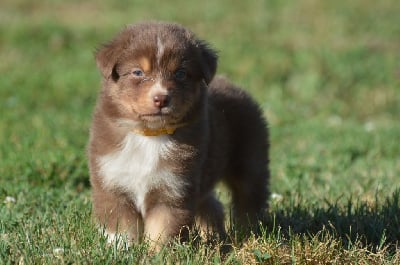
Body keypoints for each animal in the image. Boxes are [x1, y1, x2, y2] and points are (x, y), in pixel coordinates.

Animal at [87, 21, 268, 246]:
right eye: (137, 72)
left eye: (180, 73)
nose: (161, 99)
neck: (149, 134)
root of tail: (233, 85)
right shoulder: (112, 183)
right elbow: (121, 230)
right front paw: (121, 250)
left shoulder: (174, 189)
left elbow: (162, 231)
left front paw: (158, 252)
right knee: (211, 204)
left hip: (250, 161)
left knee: (249, 199)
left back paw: (249, 233)